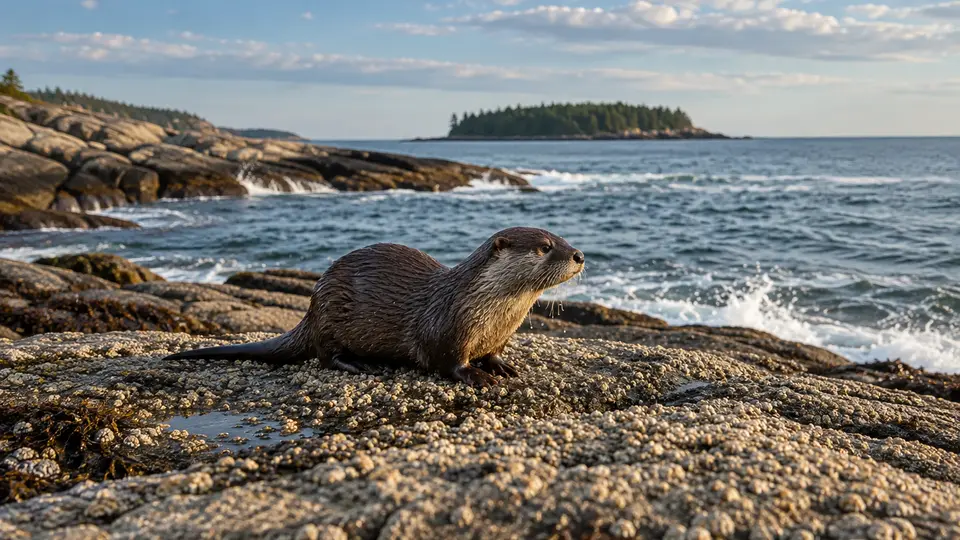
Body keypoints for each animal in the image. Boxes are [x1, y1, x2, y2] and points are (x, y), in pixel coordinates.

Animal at [164, 227, 585, 386]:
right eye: (544, 247)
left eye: (562, 238)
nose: (579, 254)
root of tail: (311, 309)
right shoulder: (444, 330)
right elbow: (448, 362)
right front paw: (477, 376)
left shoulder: (498, 335)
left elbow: (495, 353)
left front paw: (502, 366)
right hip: (331, 313)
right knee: (324, 355)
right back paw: (356, 364)